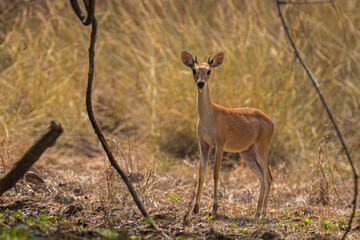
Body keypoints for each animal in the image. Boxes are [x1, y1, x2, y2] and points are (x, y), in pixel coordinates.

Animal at [181, 51, 274, 218]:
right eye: (194, 70)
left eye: (209, 71)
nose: (201, 84)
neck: (209, 116)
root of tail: (271, 121)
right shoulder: (203, 145)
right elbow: (201, 174)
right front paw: (195, 208)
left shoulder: (219, 144)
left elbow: (215, 173)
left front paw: (214, 208)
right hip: (247, 153)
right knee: (262, 178)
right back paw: (257, 213)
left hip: (262, 149)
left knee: (269, 177)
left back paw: (263, 214)